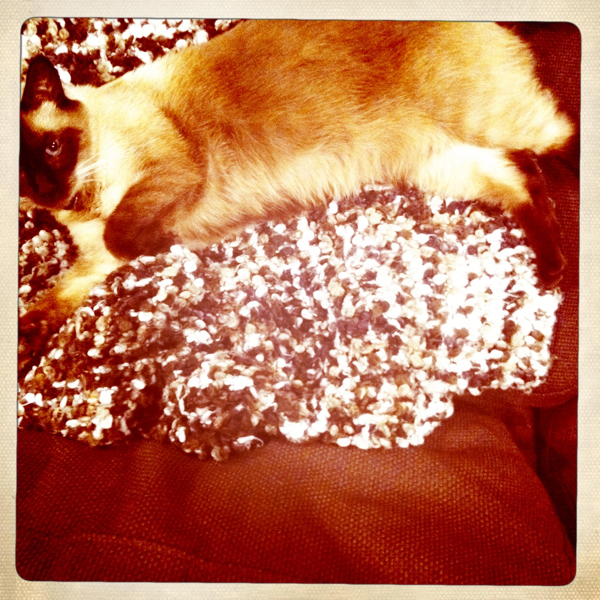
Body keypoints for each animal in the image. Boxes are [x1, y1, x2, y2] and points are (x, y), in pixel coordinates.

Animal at [19, 20, 573, 354]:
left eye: (53, 149)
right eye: (23, 177)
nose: (49, 191)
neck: (87, 204)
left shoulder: (170, 173)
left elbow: (125, 231)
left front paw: (159, 243)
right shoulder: (93, 264)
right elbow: (47, 305)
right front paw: (26, 347)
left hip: (491, 123)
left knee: (559, 138)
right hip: (445, 162)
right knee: (523, 182)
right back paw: (551, 268)